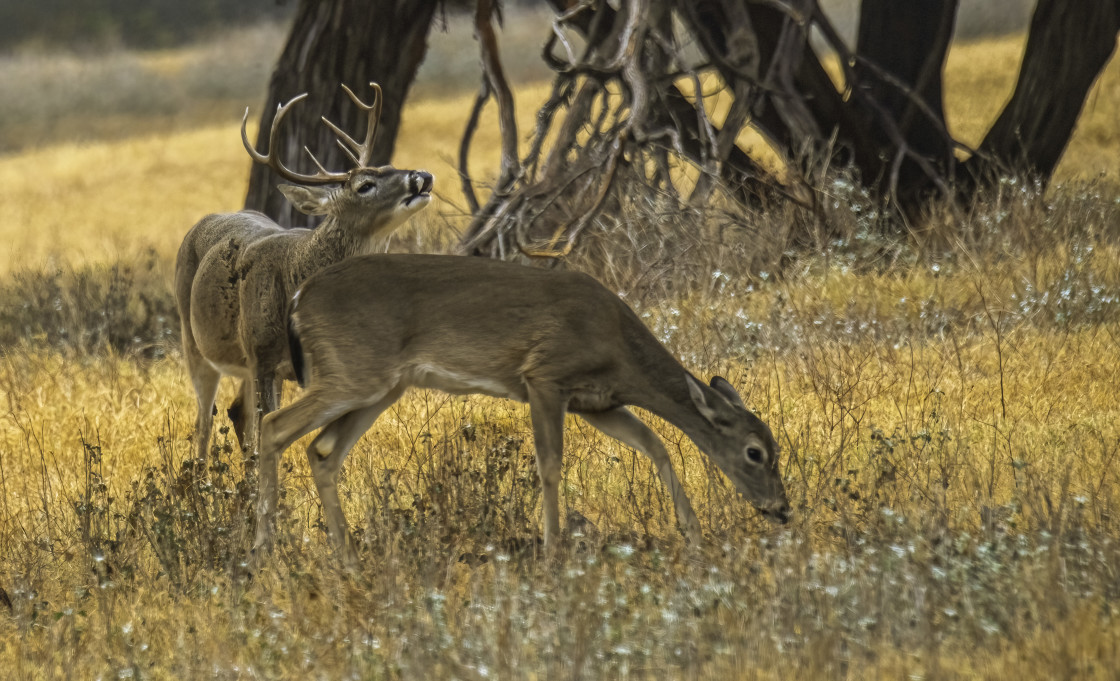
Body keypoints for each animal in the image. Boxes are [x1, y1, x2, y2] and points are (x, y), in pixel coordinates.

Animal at [174, 81, 432, 463]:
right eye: (364, 186)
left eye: (390, 165)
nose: (423, 176)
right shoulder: (263, 356)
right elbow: (269, 429)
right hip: (195, 339)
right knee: (205, 420)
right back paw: (201, 476)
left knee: (237, 412)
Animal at [257, 253, 792, 562]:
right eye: (755, 453)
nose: (782, 510)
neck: (617, 345)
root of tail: (299, 298)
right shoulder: (545, 376)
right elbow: (550, 464)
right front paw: (553, 549)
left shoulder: (597, 402)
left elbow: (656, 445)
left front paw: (693, 534)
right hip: (354, 372)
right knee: (272, 424)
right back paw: (264, 547)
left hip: (378, 387)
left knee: (321, 451)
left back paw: (345, 554)